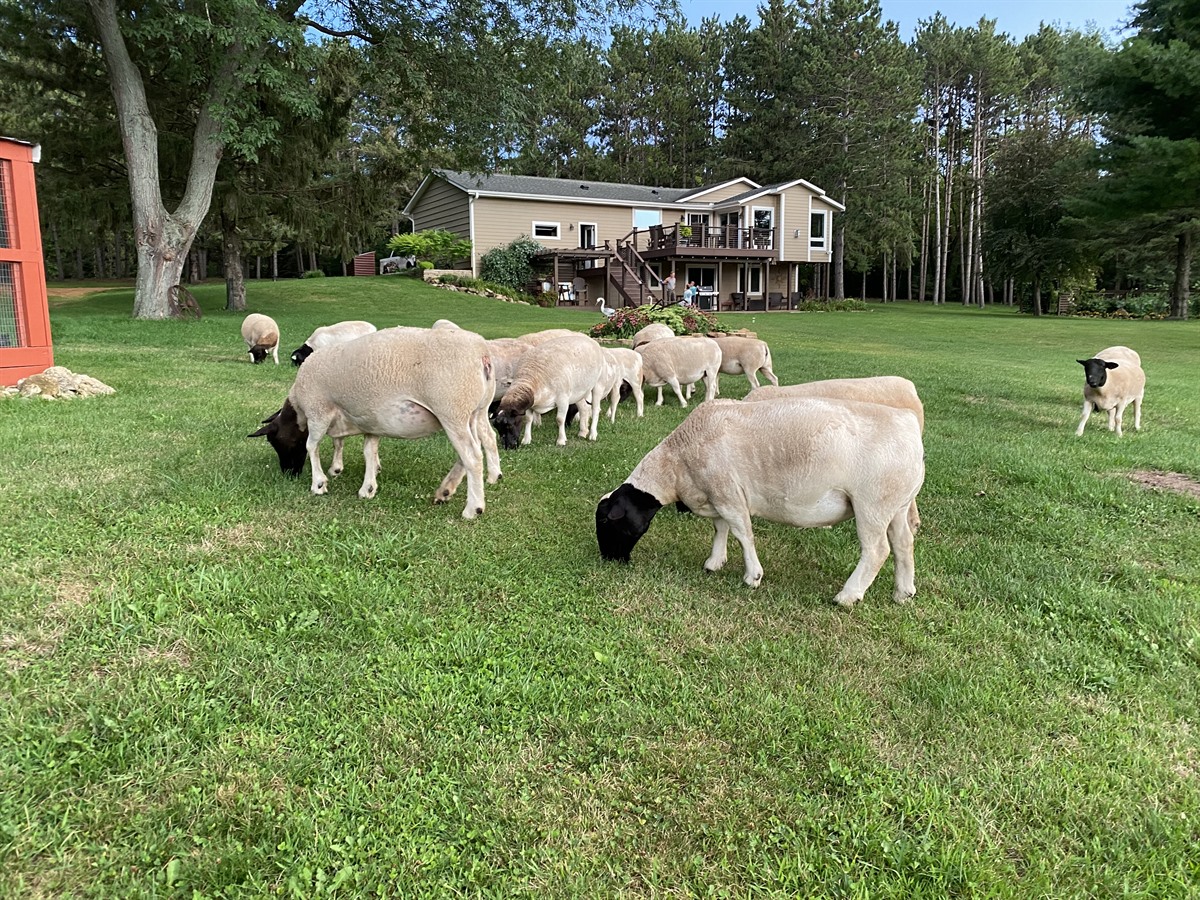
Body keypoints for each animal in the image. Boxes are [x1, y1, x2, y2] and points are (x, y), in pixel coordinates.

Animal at [250, 327, 501, 519]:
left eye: (275, 441)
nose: (288, 474)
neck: (299, 409)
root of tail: (482, 353)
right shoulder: (371, 420)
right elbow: (368, 450)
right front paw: (368, 487)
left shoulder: (319, 411)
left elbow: (312, 446)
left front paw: (319, 483)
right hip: (474, 412)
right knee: (478, 446)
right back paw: (447, 490)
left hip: (452, 410)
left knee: (472, 457)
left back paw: (473, 508)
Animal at [595, 397, 925, 607]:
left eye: (609, 522)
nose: (609, 560)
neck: (676, 464)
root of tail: (908, 423)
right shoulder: (718, 493)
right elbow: (720, 528)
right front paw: (714, 562)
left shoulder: (728, 491)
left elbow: (742, 532)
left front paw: (752, 576)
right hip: (897, 505)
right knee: (903, 544)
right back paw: (903, 593)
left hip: (872, 503)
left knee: (877, 550)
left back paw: (847, 597)